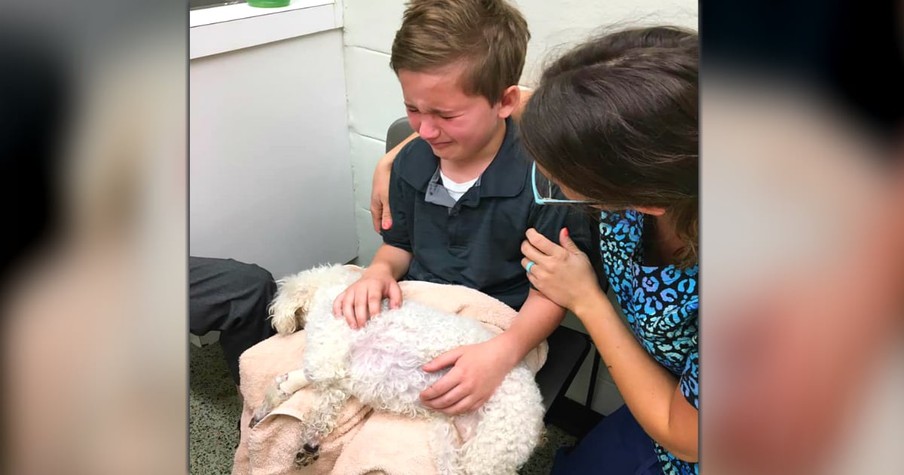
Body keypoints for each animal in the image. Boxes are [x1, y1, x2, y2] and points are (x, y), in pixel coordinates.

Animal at [247, 264, 544, 475]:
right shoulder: (340, 381)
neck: (334, 291)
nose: (280, 326)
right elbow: (322, 407)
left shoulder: (327, 360)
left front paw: (274, 397)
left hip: (493, 445)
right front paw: (309, 442)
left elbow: (301, 378)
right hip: (447, 436)